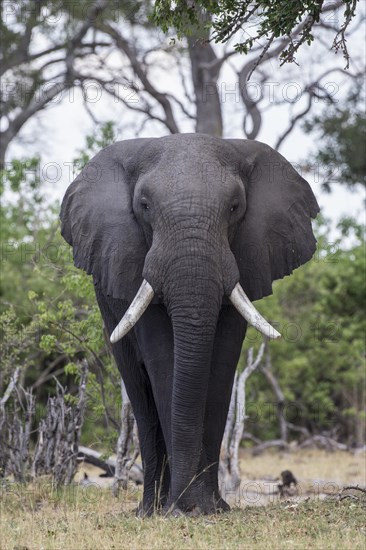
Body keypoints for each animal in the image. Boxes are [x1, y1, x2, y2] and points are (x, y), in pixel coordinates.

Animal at [59, 133, 318, 516]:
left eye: (235, 207)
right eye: (144, 206)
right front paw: (179, 509)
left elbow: (222, 360)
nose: (183, 503)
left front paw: (210, 508)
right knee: (139, 390)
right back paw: (150, 510)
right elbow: (163, 358)